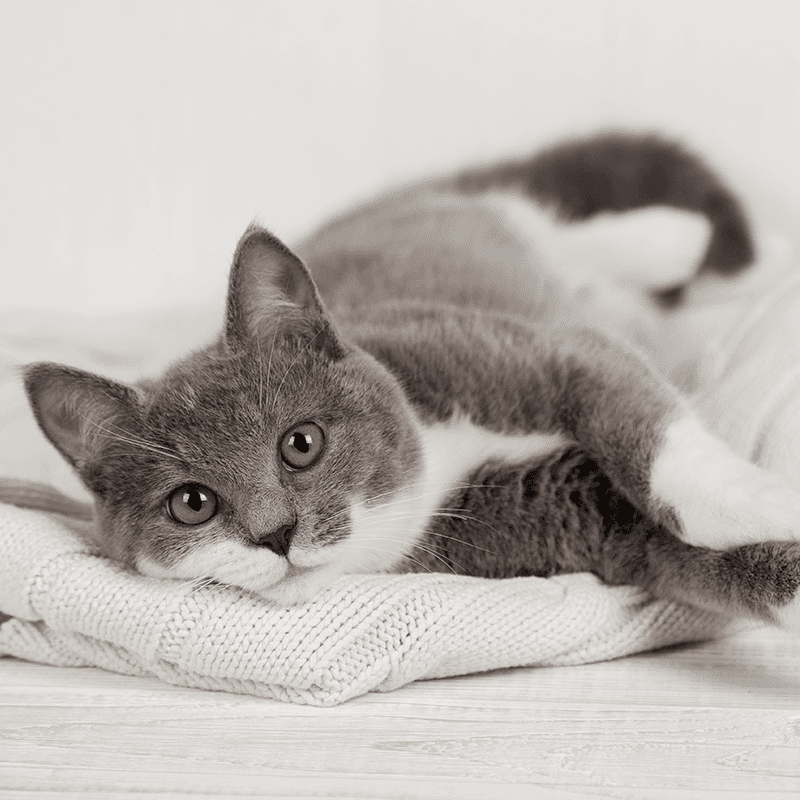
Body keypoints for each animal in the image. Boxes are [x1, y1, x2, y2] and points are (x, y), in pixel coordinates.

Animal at [18, 131, 800, 628]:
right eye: (191, 503)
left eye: (301, 444)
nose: (276, 533)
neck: (436, 451)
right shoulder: (553, 513)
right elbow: (675, 549)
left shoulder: (519, 351)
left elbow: (656, 445)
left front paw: (769, 498)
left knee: (540, 223)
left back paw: (676, 237)